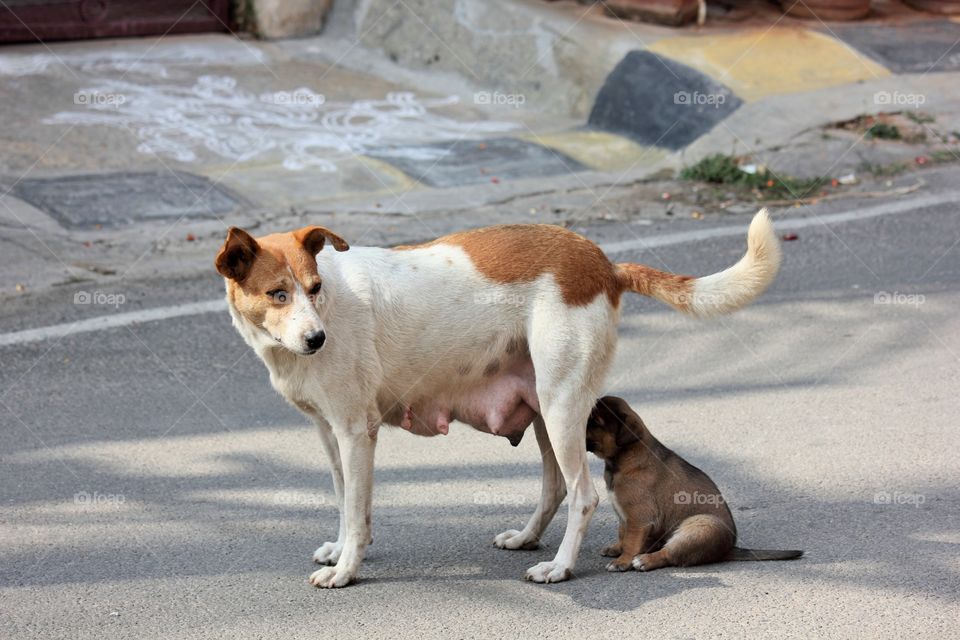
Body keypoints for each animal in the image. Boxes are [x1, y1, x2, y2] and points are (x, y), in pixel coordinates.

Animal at [214, 211, 776, 592]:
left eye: (313, 288)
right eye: (278, 294)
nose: (317, 339)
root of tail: (603, 263)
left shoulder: (357, 432)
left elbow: (357, 510)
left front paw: (348, 568)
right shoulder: (331, 433)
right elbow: (344, 497)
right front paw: (341, 549)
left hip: (563, 406)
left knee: (583, 494)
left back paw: (560, 567)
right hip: (546, 410)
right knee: (555, 487)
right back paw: (528, 538)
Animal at [584, 398, 804, 572]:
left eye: (595, 421)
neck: (622, 459)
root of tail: (728, 549)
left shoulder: (639, 518)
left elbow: (631, 541)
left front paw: (623, 561)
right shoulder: (625, 515)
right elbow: (623, 533)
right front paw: (617, 548)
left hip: (699, 527)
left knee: (670, 555)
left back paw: (645, 560)